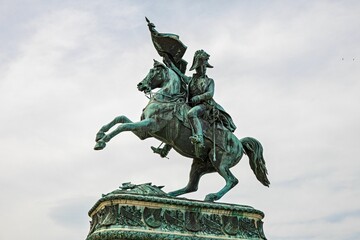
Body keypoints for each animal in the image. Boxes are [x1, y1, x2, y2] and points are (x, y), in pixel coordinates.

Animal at [94, 60, 268, 202]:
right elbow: (121, 118)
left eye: (154, 71)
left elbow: (123, 126)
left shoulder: (150, 125)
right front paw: (99, 134)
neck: (166, 99)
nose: (140, 85)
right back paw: (168, 195)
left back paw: (211, 196)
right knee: (192, 186)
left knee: (232, 180)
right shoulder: (144, 132)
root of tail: (239, 143)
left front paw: (102, 142)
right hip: (200, 165)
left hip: (221, 162)